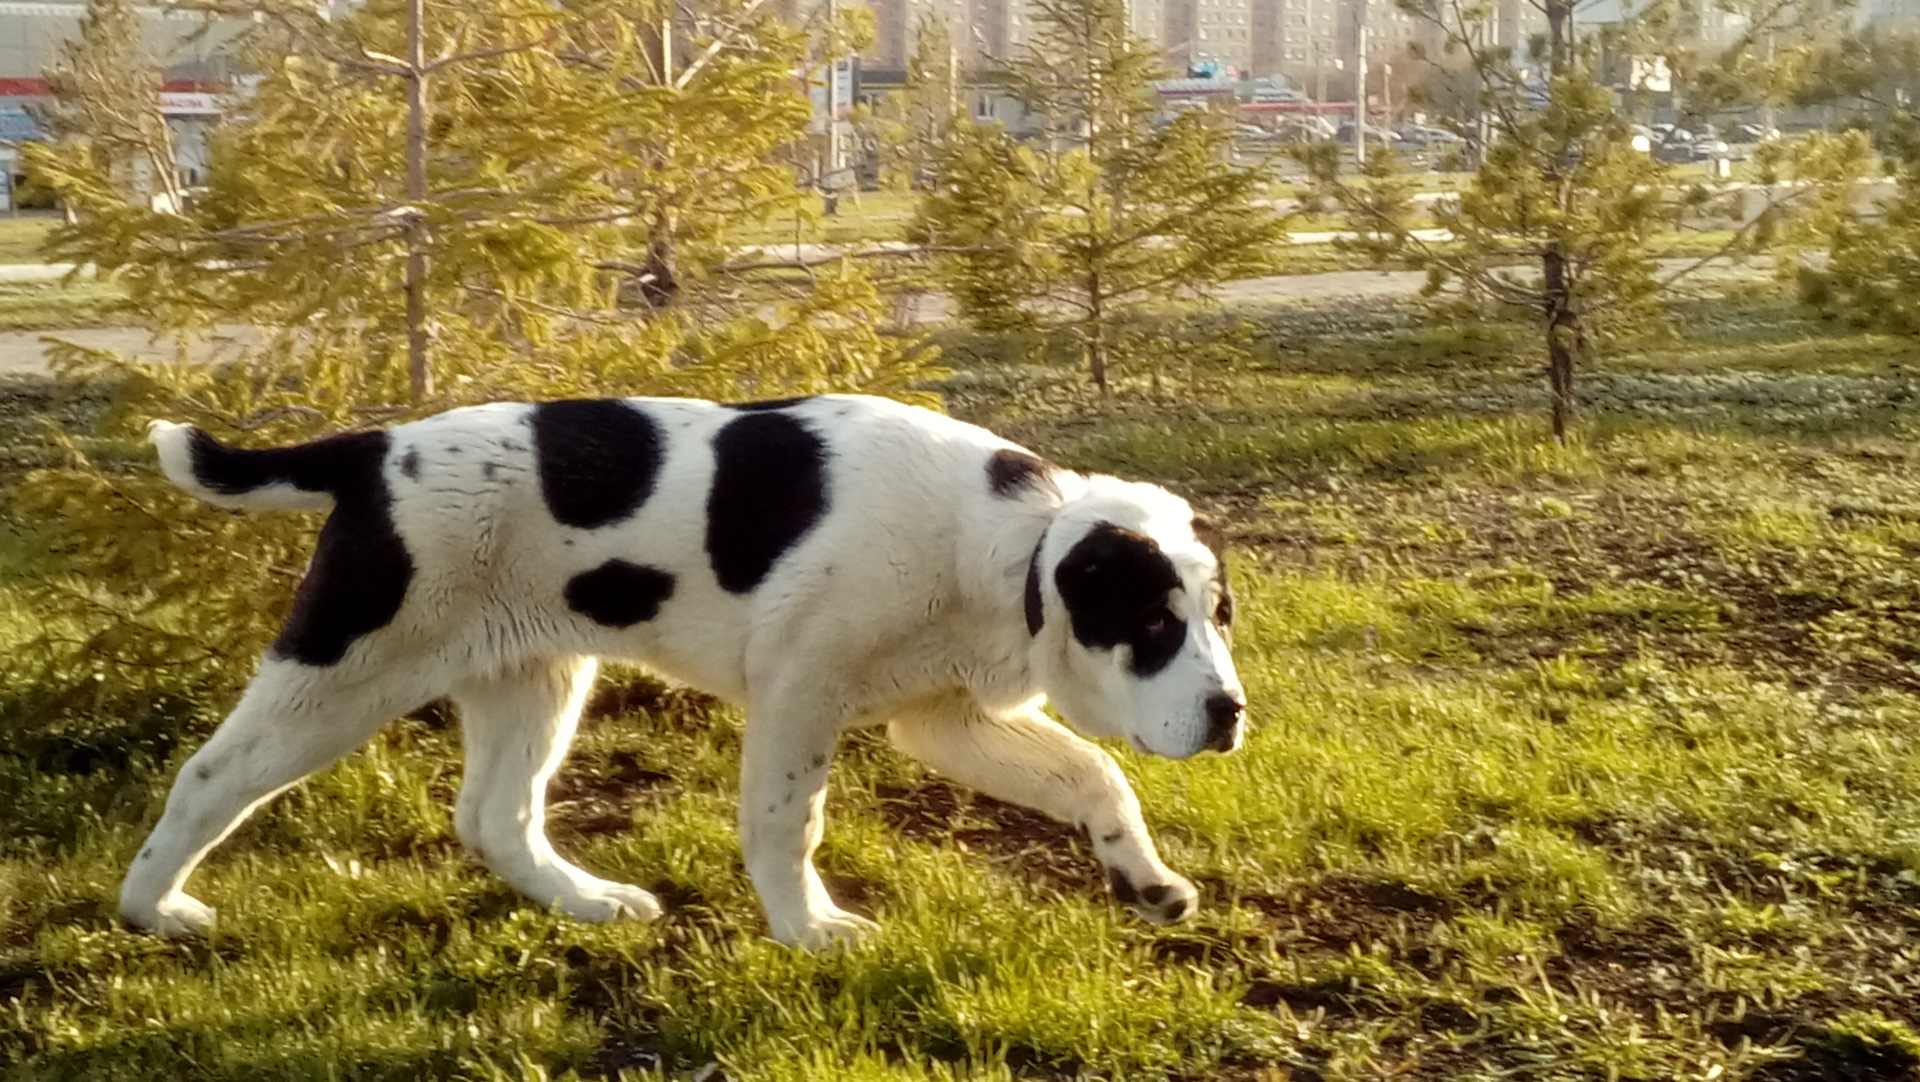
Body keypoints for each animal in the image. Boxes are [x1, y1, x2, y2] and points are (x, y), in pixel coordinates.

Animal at [120, 395, 1244, 947]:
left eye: (1217, 617)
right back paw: (150, 910)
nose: (1230, 712)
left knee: (495, 815)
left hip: (535, 673)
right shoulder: (801, 693)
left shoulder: (944, 716)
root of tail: (370, 449)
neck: (1006, 548)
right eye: (1151, 621)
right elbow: (789, 824)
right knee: (212, 776)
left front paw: (1146, 880)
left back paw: (585, 903)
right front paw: (807, 929)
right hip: (349, 665)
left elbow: (1095, 777)